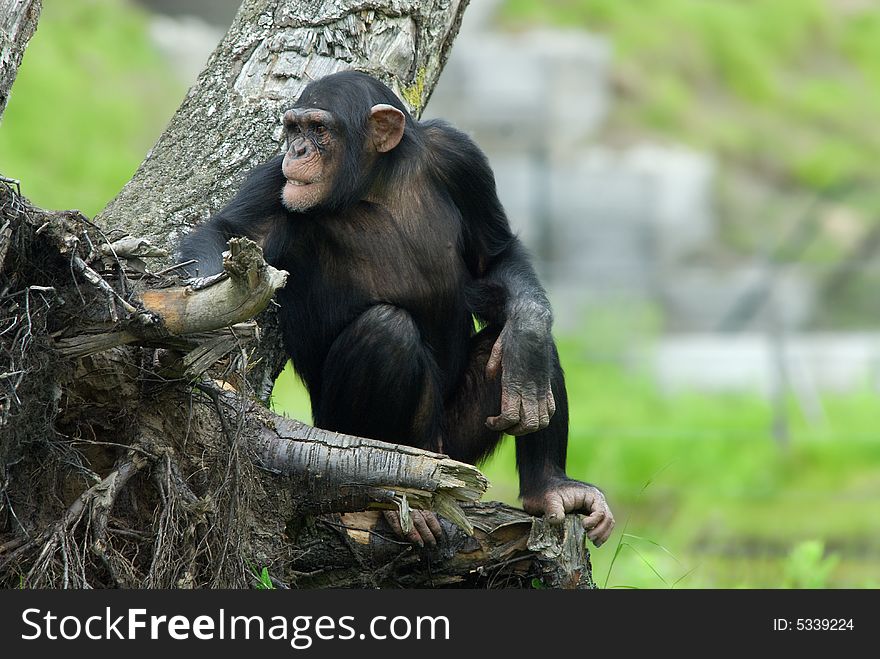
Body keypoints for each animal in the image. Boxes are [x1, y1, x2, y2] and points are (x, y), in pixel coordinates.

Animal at [182, 69, 616, 548]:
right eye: (293, 129)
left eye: (318, 129)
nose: (296, 151)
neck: (376, 181)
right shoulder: (273, 184)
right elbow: (225, 232)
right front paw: (200, 312)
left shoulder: (461, 157)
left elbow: (495, 257)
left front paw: (529, 333)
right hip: (342, 437)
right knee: (385, 332)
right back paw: (395, 496)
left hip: (458, 451)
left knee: (512, 341)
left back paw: (550, 484)